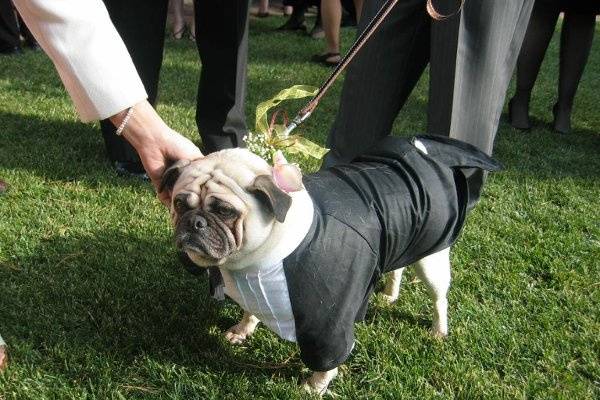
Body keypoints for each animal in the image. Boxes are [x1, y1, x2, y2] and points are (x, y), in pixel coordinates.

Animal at [161, 134, 502, 394]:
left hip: (431, 259)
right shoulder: (254, 292)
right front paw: (243, 330)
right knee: (397, 270)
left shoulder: (326, 324)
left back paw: (438, 330)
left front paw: (315, 386)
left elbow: (327, 359)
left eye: (225, 211)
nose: (195, 222)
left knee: (439, 298)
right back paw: (389, 295)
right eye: (180, 204)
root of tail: (422, 152)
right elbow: (250, 312)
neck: (255, 260)